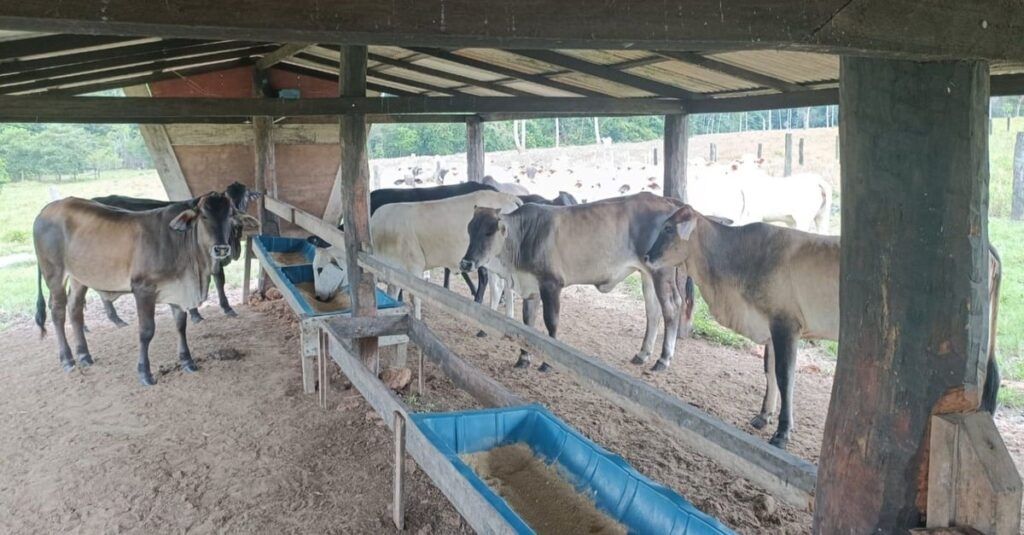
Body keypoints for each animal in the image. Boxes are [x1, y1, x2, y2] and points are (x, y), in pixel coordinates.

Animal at [35, 191, 246, 383]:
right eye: (203, 216)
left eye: (230, 216)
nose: (221, 249)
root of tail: (47, 209)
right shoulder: (143, 289)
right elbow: (146, 331)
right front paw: (144, 372)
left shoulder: (177, 290)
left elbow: (180, 325)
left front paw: (187, 361)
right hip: (54, 274)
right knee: (57, 312)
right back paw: (67, 359)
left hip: (79, 278)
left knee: (75, 310)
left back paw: (84, 355)